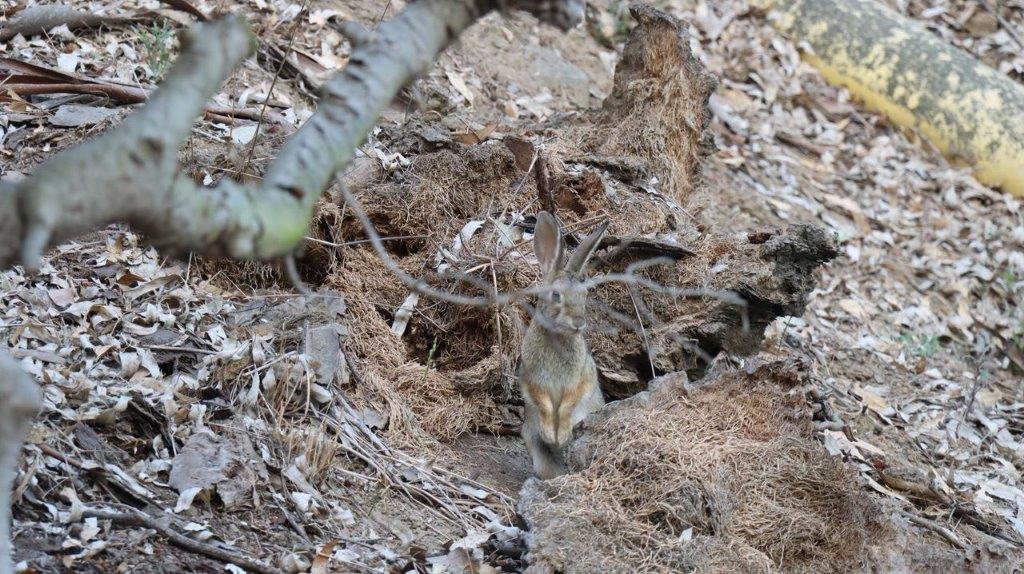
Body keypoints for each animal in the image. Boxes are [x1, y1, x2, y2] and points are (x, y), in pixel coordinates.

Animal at [520, 211, 606, 478]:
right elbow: (544, 404)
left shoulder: (580, 379)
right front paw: (551, 435)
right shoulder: (532, 380)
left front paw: (564, 434)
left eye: (585, 295)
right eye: (556, 295)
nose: (579, 323)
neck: (557, 336)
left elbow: (569, 403)